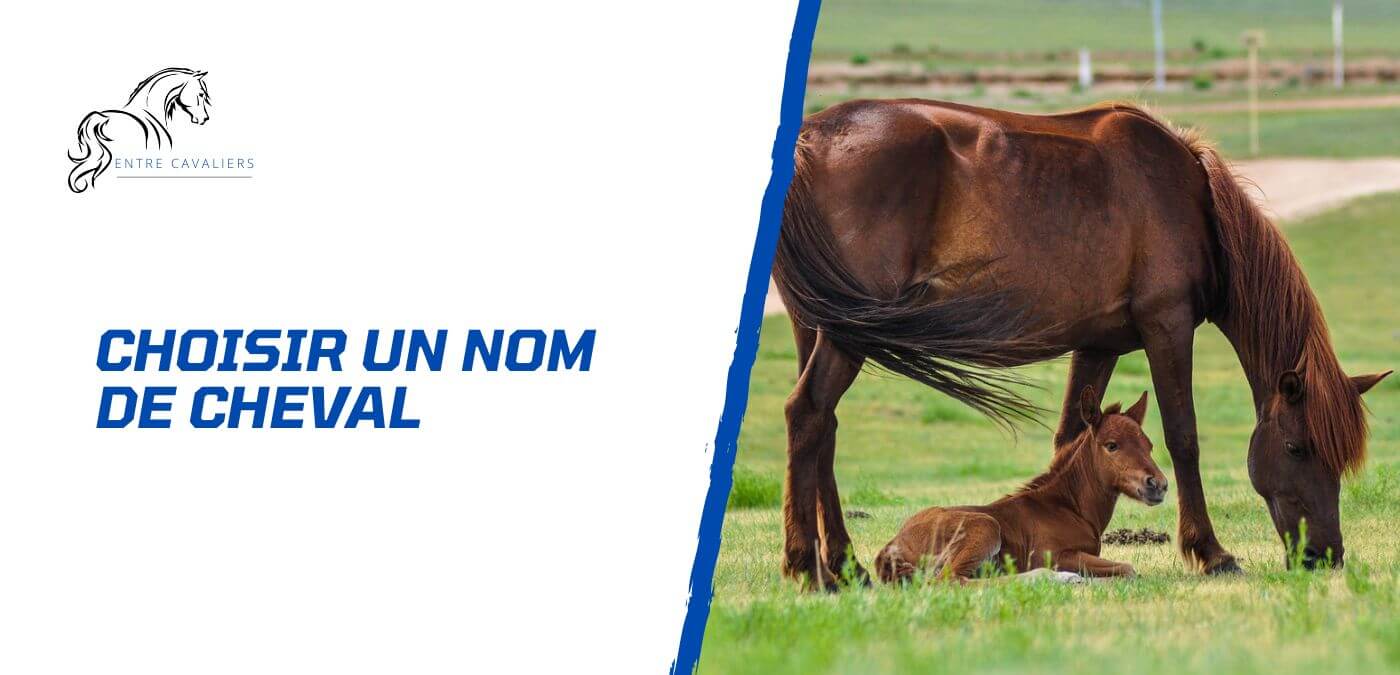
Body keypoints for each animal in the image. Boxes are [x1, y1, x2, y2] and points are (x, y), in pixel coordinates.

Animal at [875, 387, 1165, 584]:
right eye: (1112, 445)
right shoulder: (1055, 555)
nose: (1158, 485)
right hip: (985, 527)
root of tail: (891, 547)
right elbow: (1128, 568)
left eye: (1149, 446)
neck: (1069, 507)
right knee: (952, 580)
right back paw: (1056, 578)